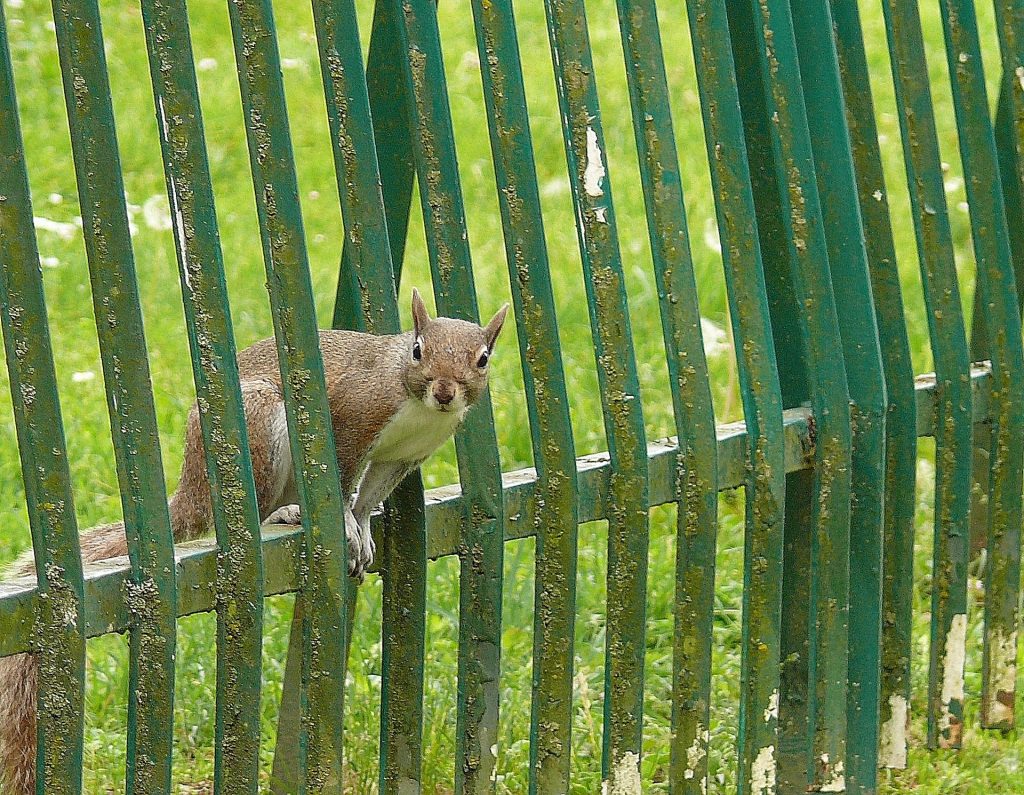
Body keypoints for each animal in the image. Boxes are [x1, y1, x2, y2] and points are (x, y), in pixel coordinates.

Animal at [0, 286, 509, 795]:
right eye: (419, 350)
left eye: (483, 359)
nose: (445, 391)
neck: (416, 405)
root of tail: (193, 484)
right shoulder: (353, 418)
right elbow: (343, 480)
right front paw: (346, 524)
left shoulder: (403, 455)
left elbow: (370, 495)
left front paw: (362, 528)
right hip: (259, 425)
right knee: (253, 514)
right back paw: (285, 512)